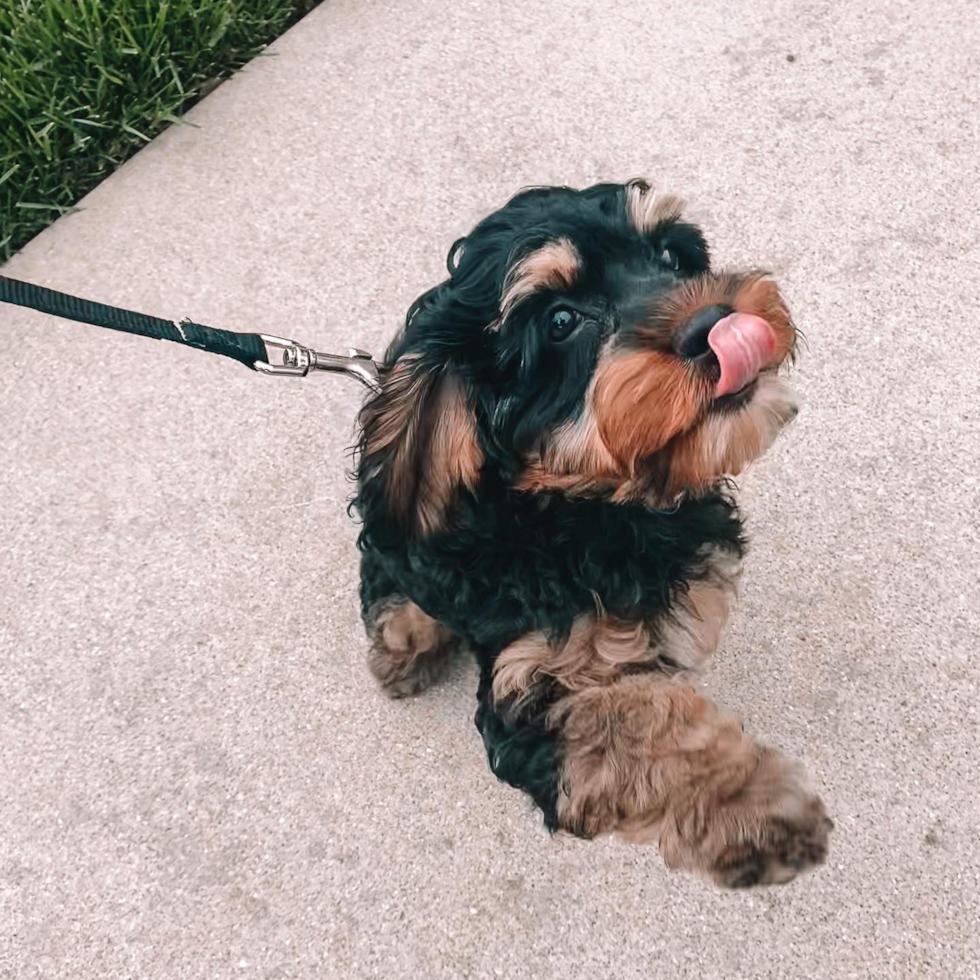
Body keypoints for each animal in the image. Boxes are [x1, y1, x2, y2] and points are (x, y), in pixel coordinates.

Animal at [352, 182, 828, 888]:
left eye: (672, 256)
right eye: (560, 322)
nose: (714, 322)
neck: (595, 512)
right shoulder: (533, 685)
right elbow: (629, 723)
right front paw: (752, 804)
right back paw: (403, 652)